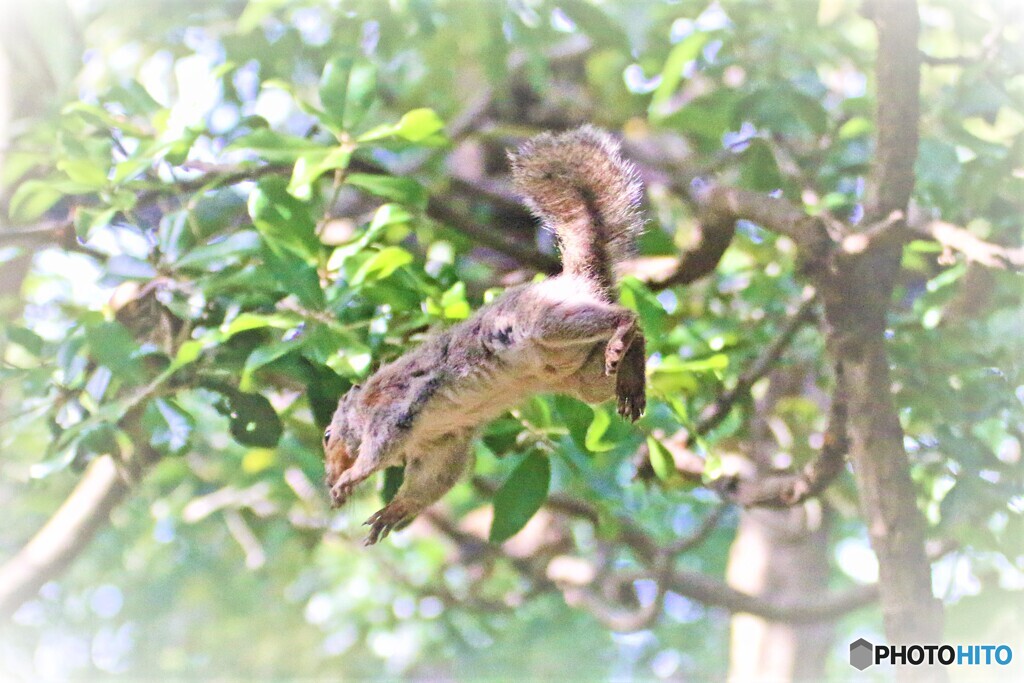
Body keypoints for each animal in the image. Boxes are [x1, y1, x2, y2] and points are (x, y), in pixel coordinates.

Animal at [323, 126, 643, 544]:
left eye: (327, 435)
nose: (327, 477)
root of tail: (579, 280)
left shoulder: (391, 411)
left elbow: (379, 449)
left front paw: (350, 477)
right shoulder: (440, 443)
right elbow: (433, 480)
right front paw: (396, 510)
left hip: (544, 322)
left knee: (628, 318)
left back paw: (623, 337)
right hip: (587, 379)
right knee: (625, 353)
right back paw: (631, 380)